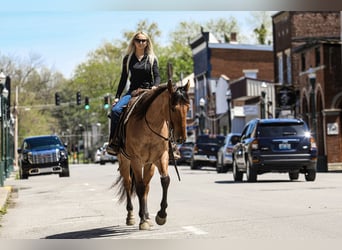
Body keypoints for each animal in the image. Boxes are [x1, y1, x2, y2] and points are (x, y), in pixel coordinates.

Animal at [114, 79, 190, 230]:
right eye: (173, 108)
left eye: (188, 108)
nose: (181, 138)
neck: (150, 126)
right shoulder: (136, 160)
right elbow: (139, 187)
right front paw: (142, 220)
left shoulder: (161, 157)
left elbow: (165, 181)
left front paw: (161, 215)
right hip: (124, 161)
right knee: (129, 184)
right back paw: (131, 216)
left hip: (150, 165)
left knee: (146, 186)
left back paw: (147, 216)